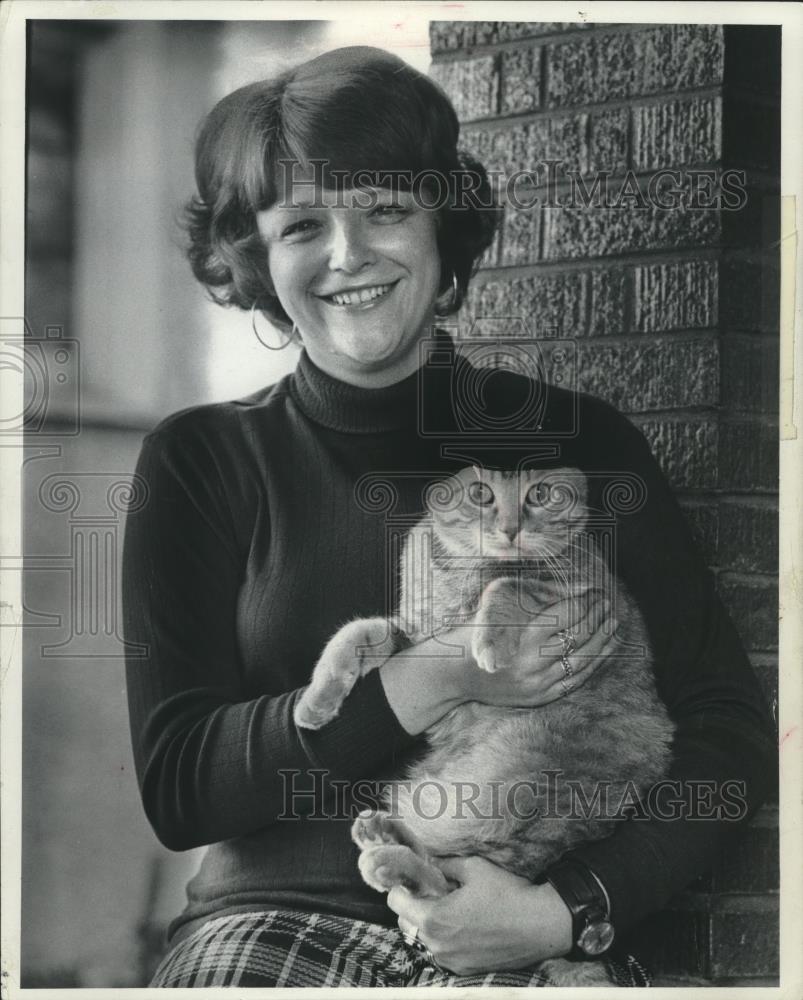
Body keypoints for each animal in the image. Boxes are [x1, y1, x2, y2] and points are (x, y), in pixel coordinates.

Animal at [292, 466, 676, 984]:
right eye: (481, 493)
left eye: (539, 493)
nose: (511, 528)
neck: (459, 569)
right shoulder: (411, 636)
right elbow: (354, 635)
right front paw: (314, 705)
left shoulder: (580, 591)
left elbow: (506, 587)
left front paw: (488, 643)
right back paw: (381, 837)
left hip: (499, 788)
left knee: (449, 883)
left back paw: (386, 858)